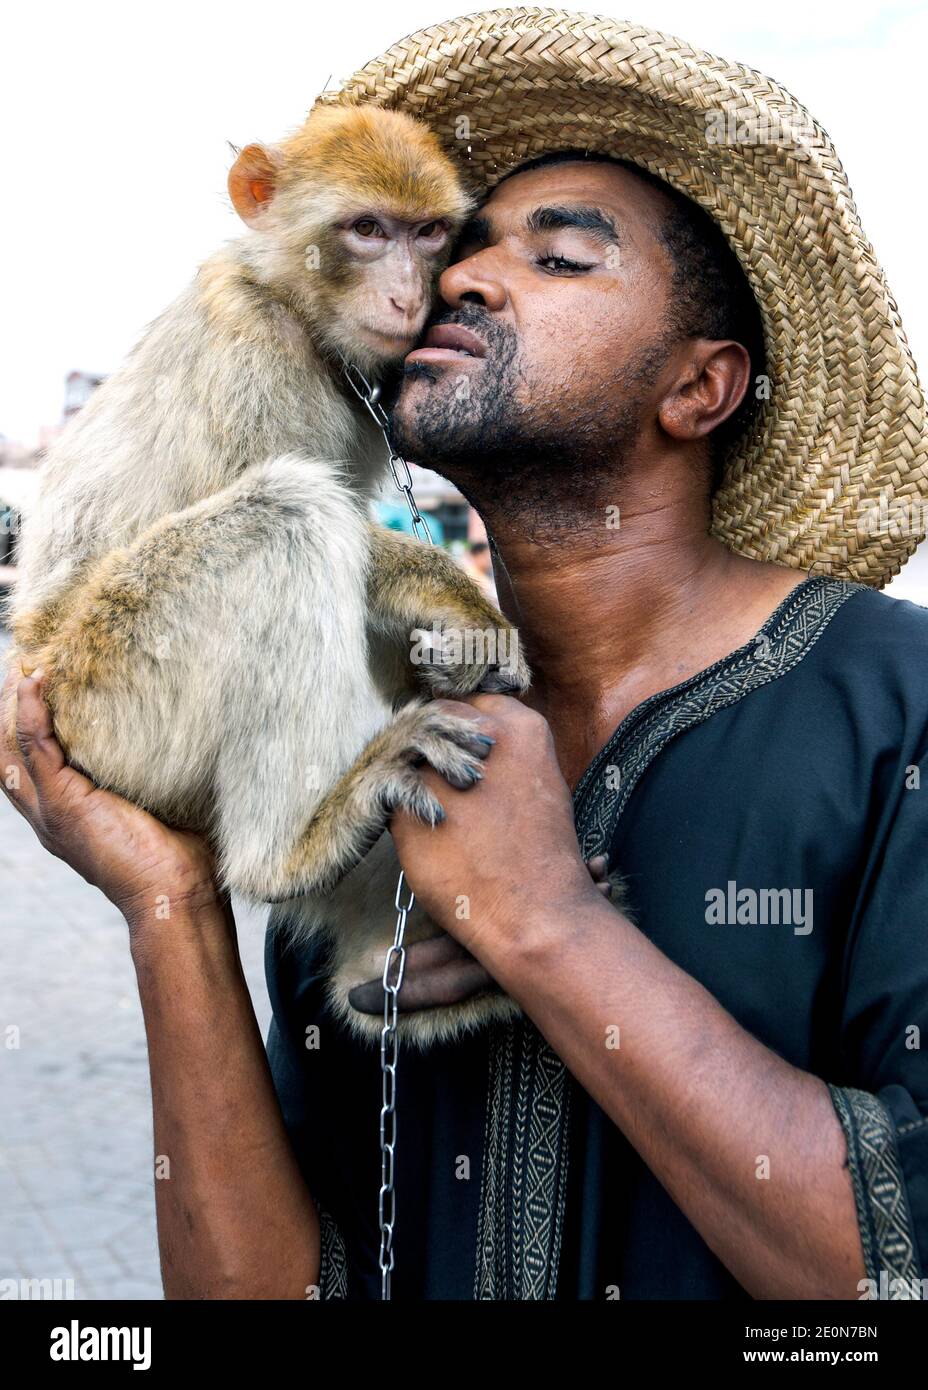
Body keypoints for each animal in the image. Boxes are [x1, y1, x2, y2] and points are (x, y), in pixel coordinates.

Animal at [3, 102, 533, 1045]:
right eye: (367, 230)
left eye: (428, 233)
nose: (408, 296)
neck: (296, 309)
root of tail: (37, 657)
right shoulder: (249, 356)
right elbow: (329, 521)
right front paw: (467, 609)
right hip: (111, 703)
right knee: (288, 515)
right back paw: (291, 850)